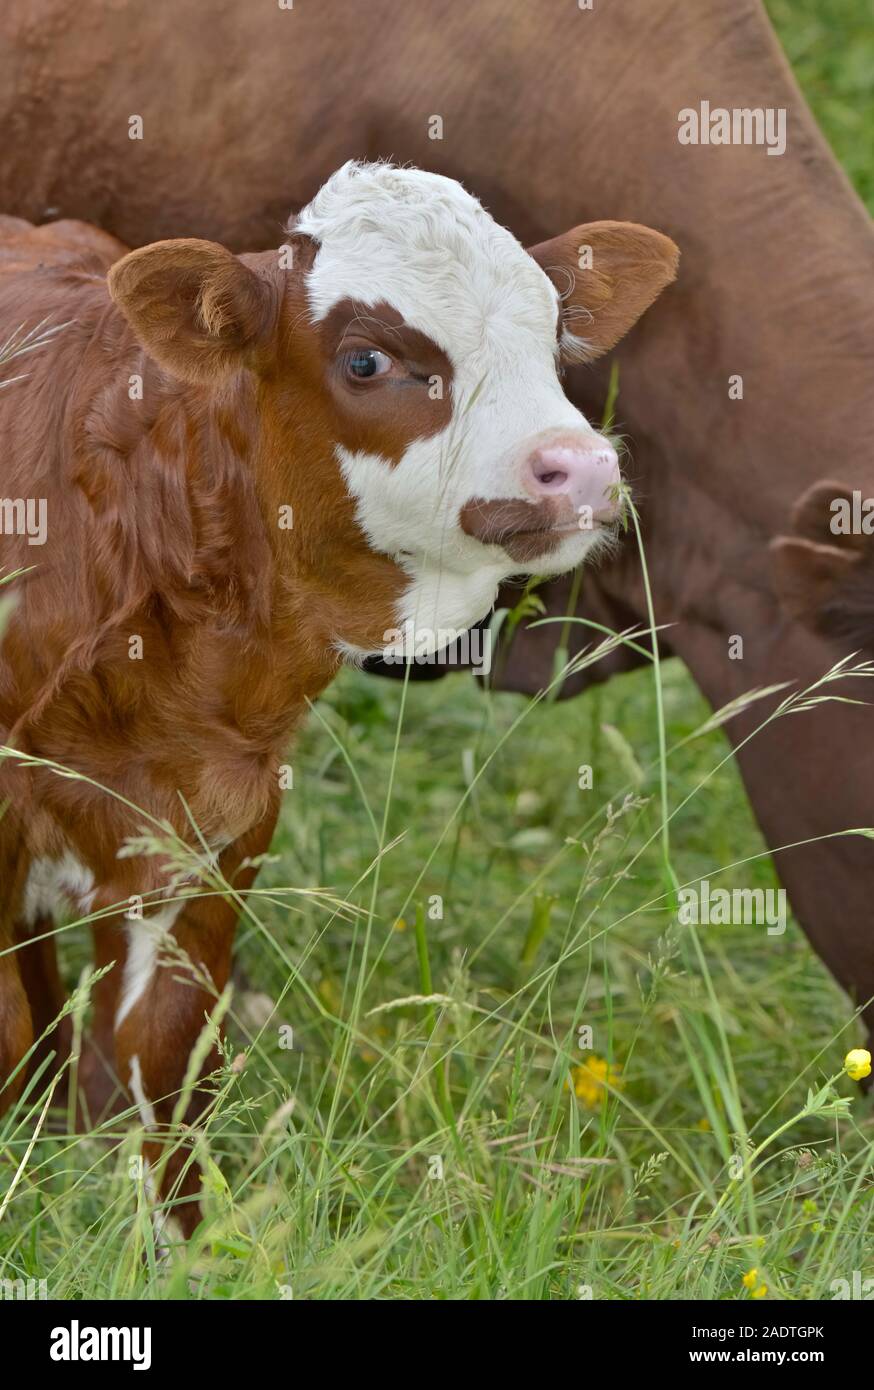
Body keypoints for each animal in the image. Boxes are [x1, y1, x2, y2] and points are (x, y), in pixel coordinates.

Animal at [0, 162, 675, 1239]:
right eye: (367, 360)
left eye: (553, 336)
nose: (583, 468)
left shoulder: (217, 818)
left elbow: (164, 1054)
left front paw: (174, 1245)